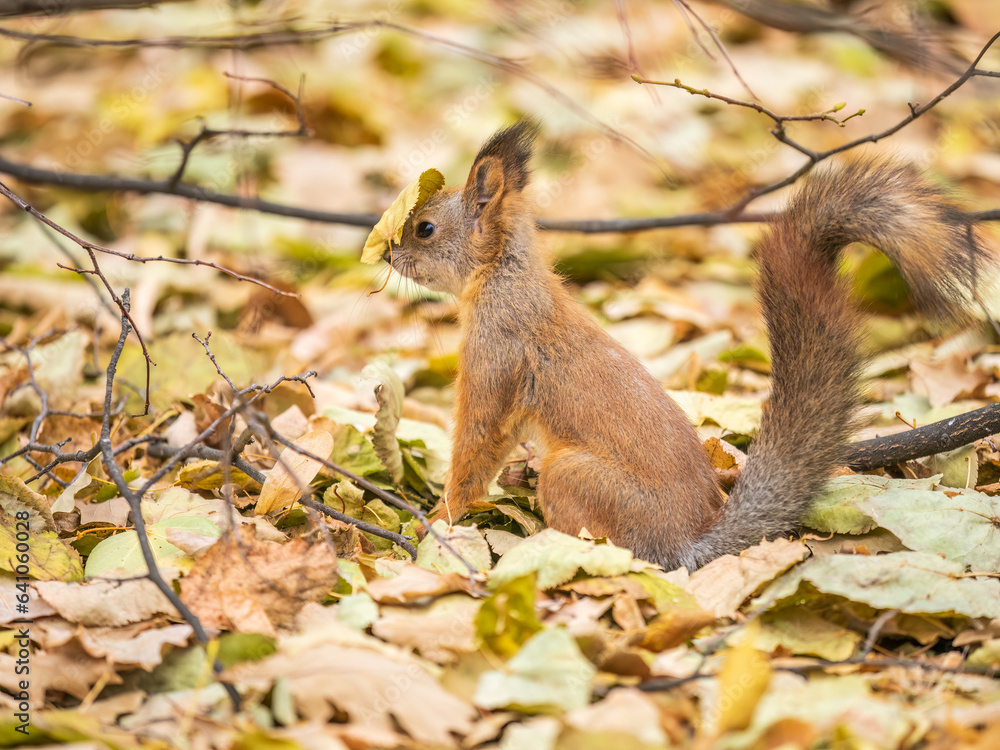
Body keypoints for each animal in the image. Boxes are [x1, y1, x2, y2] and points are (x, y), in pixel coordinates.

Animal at [384, 122, 992, 568]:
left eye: (425, 229)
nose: (389, 255)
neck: (502, 276)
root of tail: (686, 543)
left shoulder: (498, 351)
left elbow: (477, 443)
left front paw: (439, 517)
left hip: (579, 478)